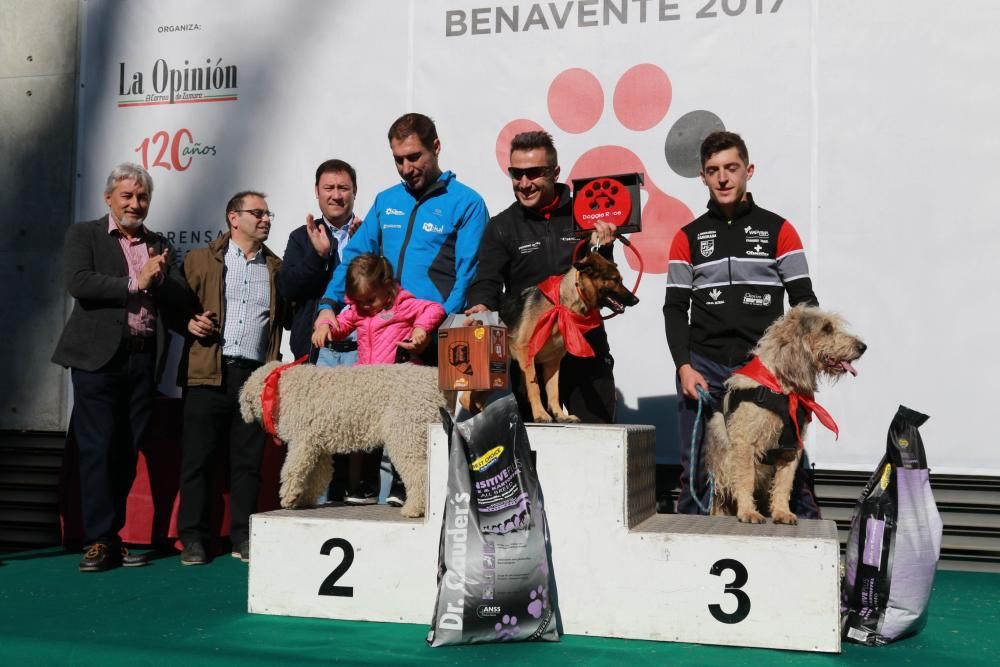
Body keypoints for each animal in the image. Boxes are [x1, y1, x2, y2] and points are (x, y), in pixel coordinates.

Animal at [238, 362, 446, 520]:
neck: (280, 386)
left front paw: (289, 497)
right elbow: (319, 475)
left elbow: (292, 469)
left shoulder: (302, 440)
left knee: (420, 474)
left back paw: (414, 508)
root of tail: (433, 379)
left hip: (406, 434)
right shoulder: (318, 446)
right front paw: (304, 499)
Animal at [486, 252, 640, 422]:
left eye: (621, 280)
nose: (636, 300)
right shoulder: (526, 354)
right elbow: (535, 387)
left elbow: (554, 391)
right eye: (615, 280)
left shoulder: (553, 362)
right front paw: (540, 414)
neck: (561, 303)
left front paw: (560, 415)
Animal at [704, 306, 868, 524]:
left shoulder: (792, 448)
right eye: (826, 328)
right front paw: (748, 511)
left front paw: (782, 512)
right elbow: (745, 479)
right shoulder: (745, 443)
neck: (782, 387)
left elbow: (784, 484)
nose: (863, 347)